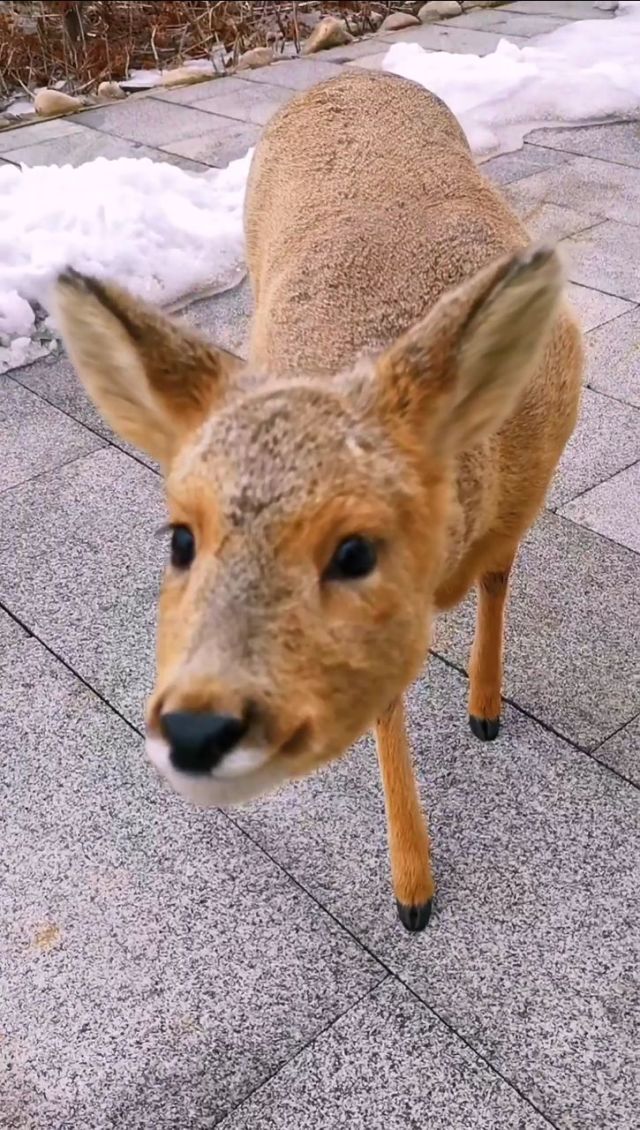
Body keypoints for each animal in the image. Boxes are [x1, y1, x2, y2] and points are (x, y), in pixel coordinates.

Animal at [56, 72, 587, 935]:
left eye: (354, 549)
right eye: (180, 539)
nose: (195, 726)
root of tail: (352, 75)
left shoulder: (524, 494)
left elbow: (498, 581)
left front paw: (484, 711)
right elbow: (385, 707)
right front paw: (413, 890)